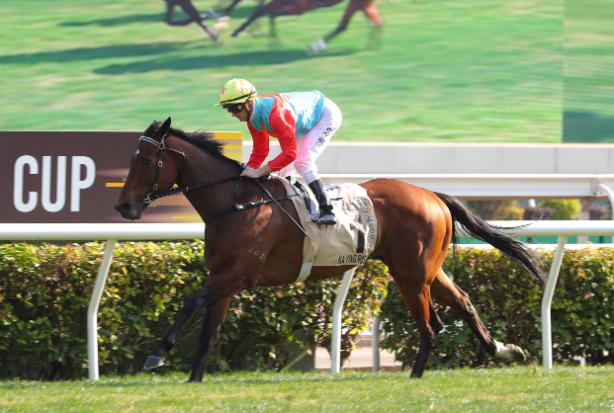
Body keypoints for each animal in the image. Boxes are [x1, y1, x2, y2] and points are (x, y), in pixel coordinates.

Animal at [115, 118, 546, 382]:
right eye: (131, 158)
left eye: (147, 160)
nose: (124, 206)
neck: (234, 202)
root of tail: (432, 195)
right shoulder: (221, 274)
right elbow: (209, 328)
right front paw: (194, 377)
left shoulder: (241, 274)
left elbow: (190, 302)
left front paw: (158, 354)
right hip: (426, 270)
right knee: (462, 303)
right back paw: (503, 351)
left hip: (410, 275)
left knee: (430, 325)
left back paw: (416, 376)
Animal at [229, 0, 383, 54]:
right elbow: (263, 11)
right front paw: (236, 32)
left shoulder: (299, 7)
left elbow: (271, 13)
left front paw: (273, 41)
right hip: (362, 3)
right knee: (376, 22)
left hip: (358, 2)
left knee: (344, 25)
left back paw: (315, 47)